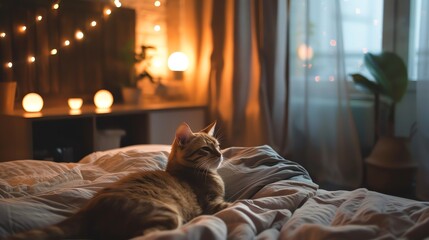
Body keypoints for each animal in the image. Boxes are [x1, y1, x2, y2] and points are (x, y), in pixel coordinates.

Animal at [5, 122, 229, 240]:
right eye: (205, 149)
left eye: (218, 146)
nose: (220, 154)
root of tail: (90, 208)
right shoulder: (213, 203)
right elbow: (234, 203)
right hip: (165, 213)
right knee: (146, 235)